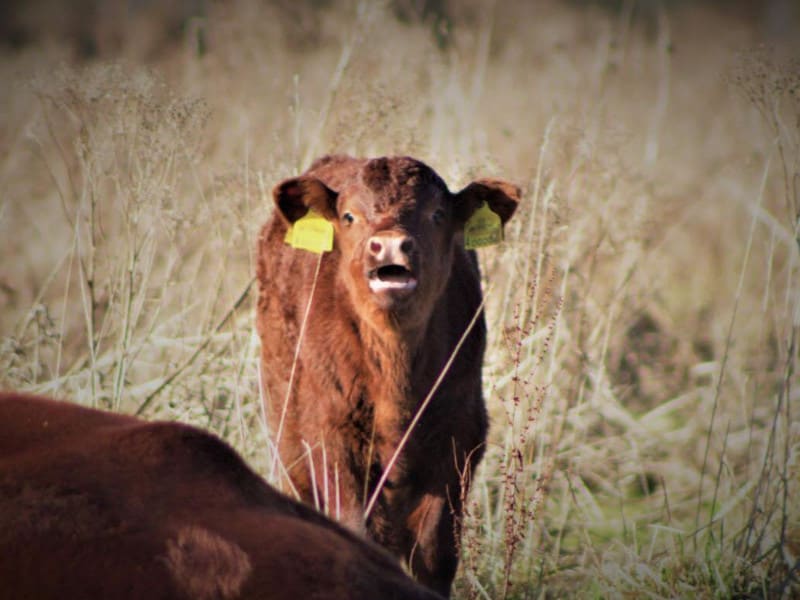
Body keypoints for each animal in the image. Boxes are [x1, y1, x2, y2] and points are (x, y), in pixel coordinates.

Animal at [256, 154, 519, 596]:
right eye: (349, 216)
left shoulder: (459, 435)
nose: (390, 245)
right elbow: (356, 533)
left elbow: (434, 551)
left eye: (437, 214)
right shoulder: (331, 435)